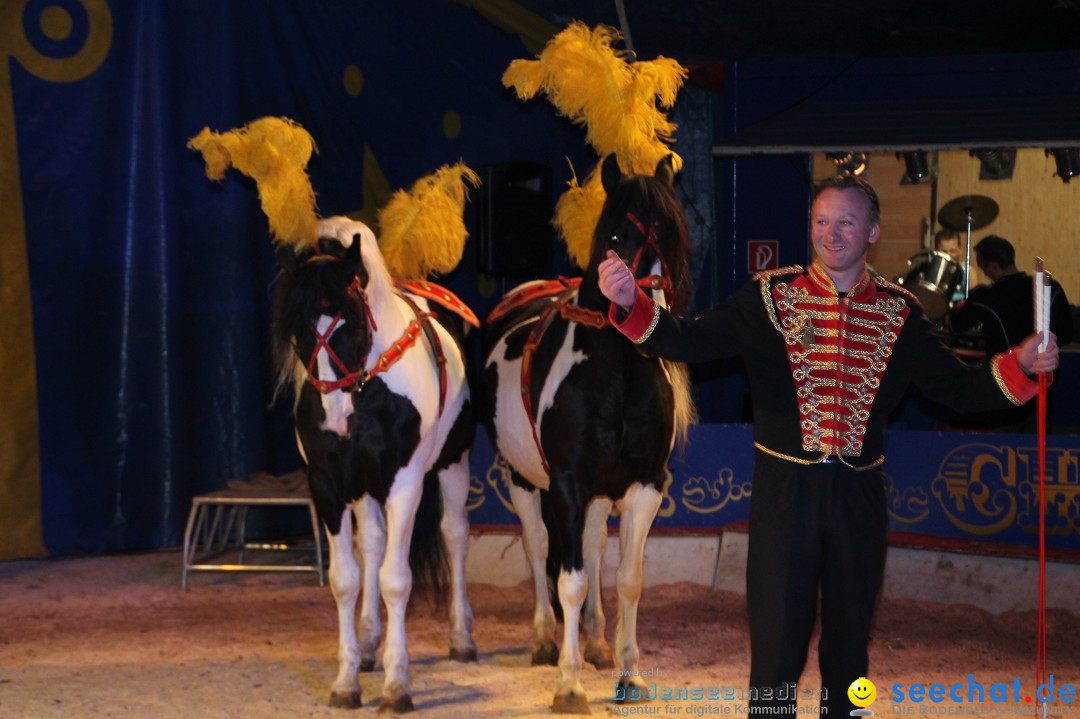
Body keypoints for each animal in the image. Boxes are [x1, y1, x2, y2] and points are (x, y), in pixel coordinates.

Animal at [276, 215, 479, 708]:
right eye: (299, 330)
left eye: (349, 321)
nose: (333, 419)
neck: (368, 393)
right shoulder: (328, 485)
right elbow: (346, 578)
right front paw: (347, 678)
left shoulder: (405, 484)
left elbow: (395, 579)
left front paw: (396, 685)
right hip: (365, 487)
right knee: (371, 542)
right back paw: (370, 644)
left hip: (453, 463)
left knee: (455, 534)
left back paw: (461, 638)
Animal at [479, 154, 691, 708]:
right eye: (615, 236)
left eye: (672, 235)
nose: (641, 307)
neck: (616, 376)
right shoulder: (569, 486)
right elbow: (568, 581)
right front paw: (569, 684)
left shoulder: (645, 486)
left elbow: (629, 578)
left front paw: (628, 672)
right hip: (522, 478)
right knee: (537, 548)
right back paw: (543, 640)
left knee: (594, 549)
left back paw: (595, 641)